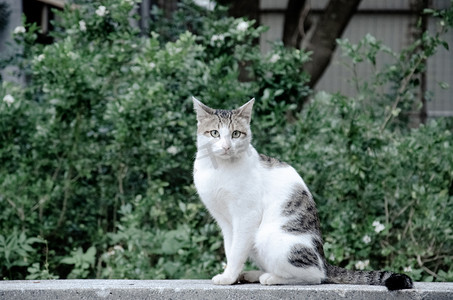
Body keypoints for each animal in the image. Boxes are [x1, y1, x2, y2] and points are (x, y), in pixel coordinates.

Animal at [191, 97, 414, 290]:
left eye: (236, 134)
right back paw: (255, 274)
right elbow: (231, 248)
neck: (219, 170)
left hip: (267, 237)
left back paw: (270, 277)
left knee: (314, 276)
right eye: (214, 133)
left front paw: (228, 277)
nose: (226, 146)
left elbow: (237, 251)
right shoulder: (225, 222)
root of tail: (324, 260)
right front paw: (233, 276)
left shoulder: (246, 216)